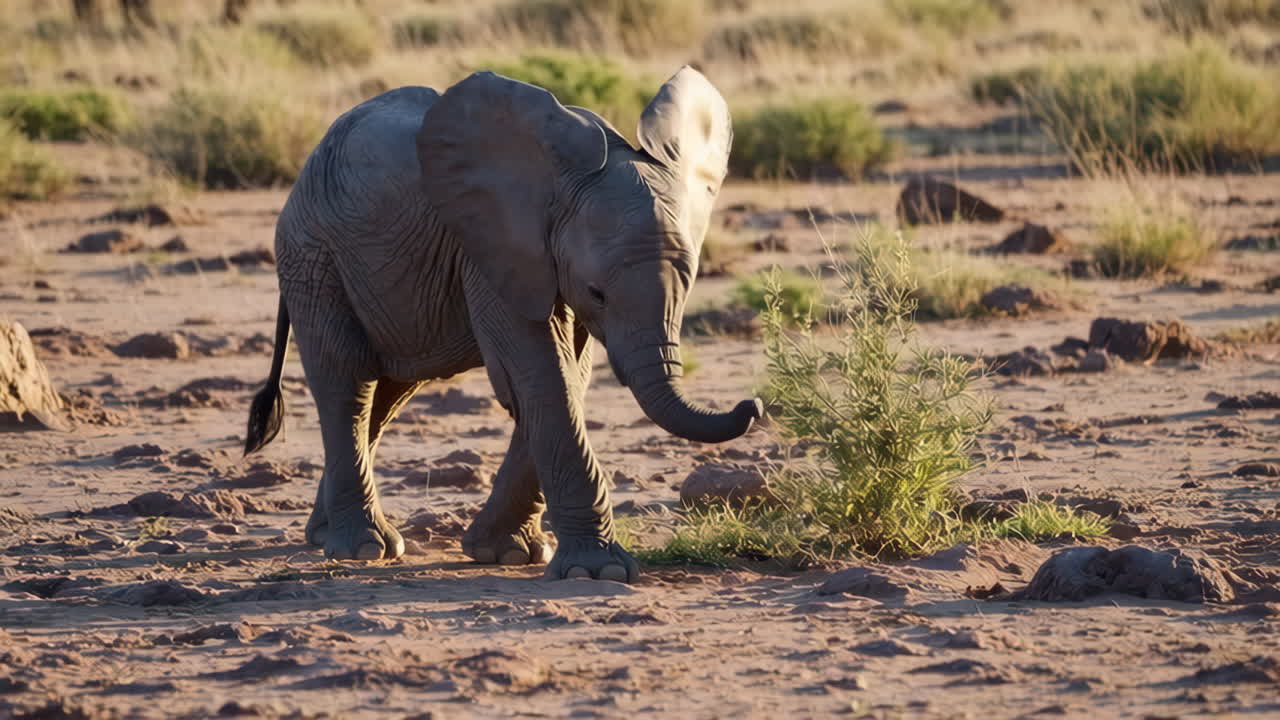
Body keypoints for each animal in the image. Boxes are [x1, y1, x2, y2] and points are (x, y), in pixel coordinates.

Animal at [243, 66, 761, 583]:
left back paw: (324, 536)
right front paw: (597, 573)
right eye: (597, 292)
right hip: (313, 257)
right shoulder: (488, 248)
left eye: (688, 281)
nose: (752, 404)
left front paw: (509, 554)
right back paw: (364, 548)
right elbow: (539, 376)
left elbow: (568, 376)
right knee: (349, 383)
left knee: (385, 396)